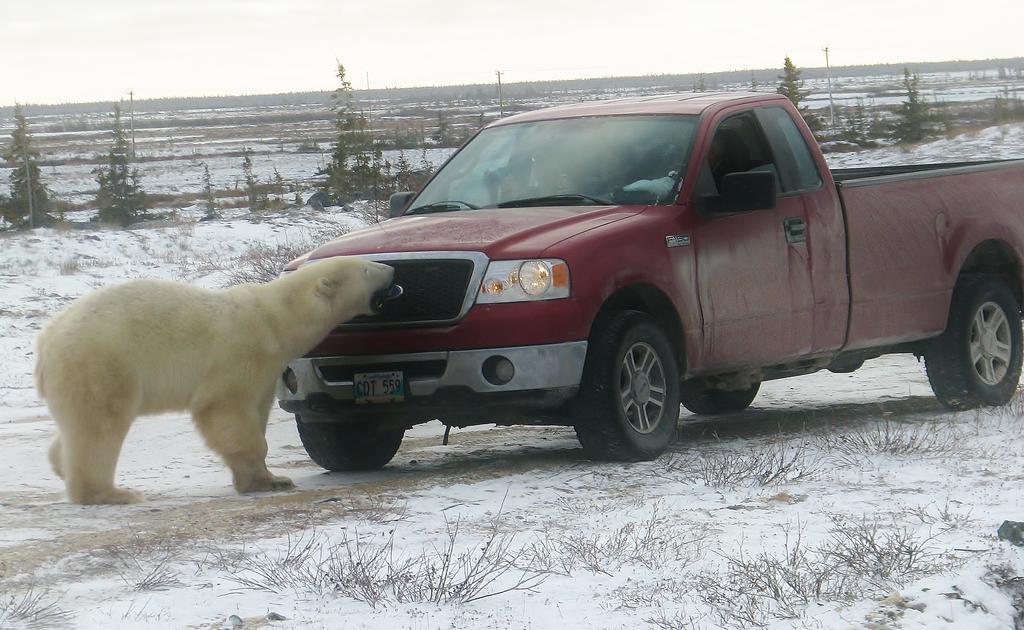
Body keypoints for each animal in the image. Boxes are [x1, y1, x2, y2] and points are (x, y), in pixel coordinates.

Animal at [30, 256, 391, 508]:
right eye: (366, 269)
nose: (391, 269)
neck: (274, 319)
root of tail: (46, 344)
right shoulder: (240, 356)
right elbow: (226, 413)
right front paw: (260, 480)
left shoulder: (266, 371)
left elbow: (256, 414)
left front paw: (272, 479)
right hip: (101, 363)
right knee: (101, 427)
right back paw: (112, 493)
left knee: (79, 427)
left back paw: (62, 466)